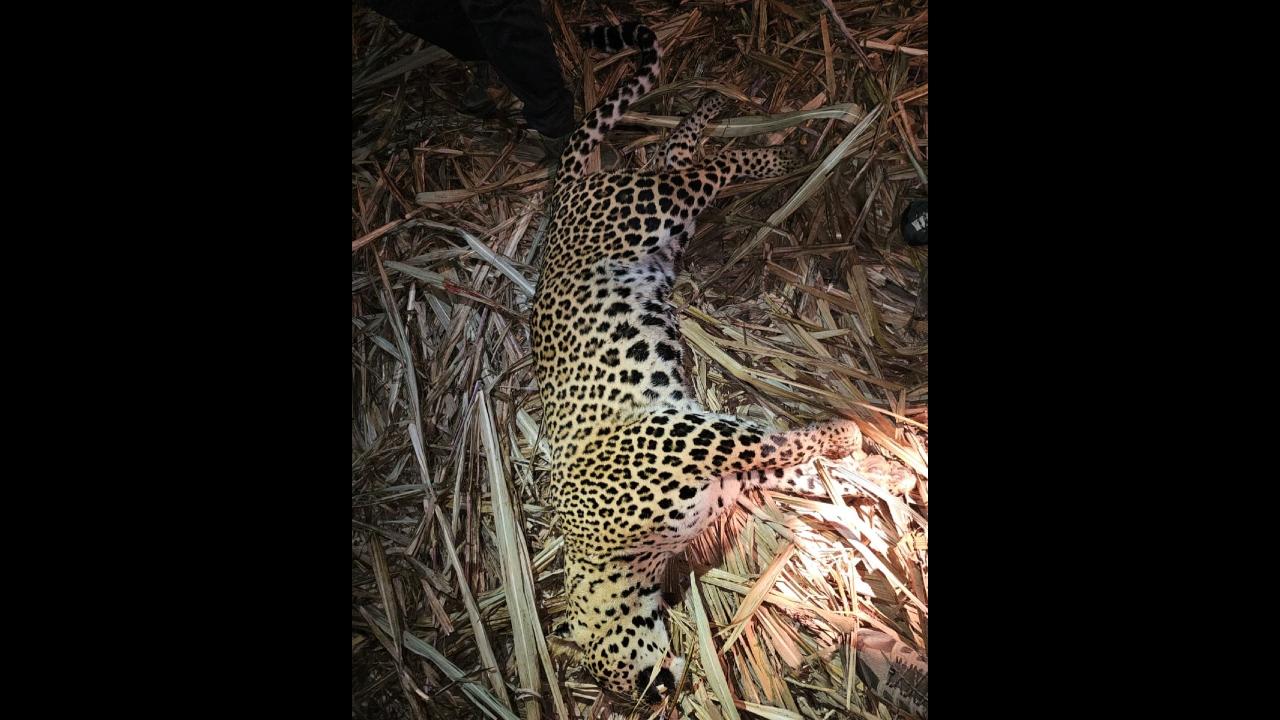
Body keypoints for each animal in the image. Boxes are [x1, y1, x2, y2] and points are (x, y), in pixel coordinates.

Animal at [532, 21, 869, 704]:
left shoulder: (683, 435)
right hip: (665, 228)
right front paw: (850, 475)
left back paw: (773, 153)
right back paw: (710, 109)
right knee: (672, 153)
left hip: (648, 208)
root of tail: (565, 198)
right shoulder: (720, 469)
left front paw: (844, 435)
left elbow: (773, 442)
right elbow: (779, 463)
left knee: (699, 167)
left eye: (627, 685)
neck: (615, 561)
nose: (664, 690)